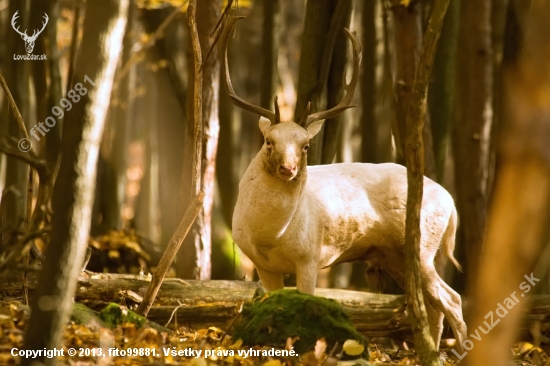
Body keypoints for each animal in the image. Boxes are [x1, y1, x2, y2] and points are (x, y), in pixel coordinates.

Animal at [222, 16, 468, 352]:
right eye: (269, 141)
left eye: (306, 146)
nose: (288, 168)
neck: (269, 236)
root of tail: (451, 201)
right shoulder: (262, 265)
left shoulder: (310, 255)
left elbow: (307, 302)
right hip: (396, 256)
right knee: (435, 303)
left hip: (421, 246)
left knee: (452, 298)